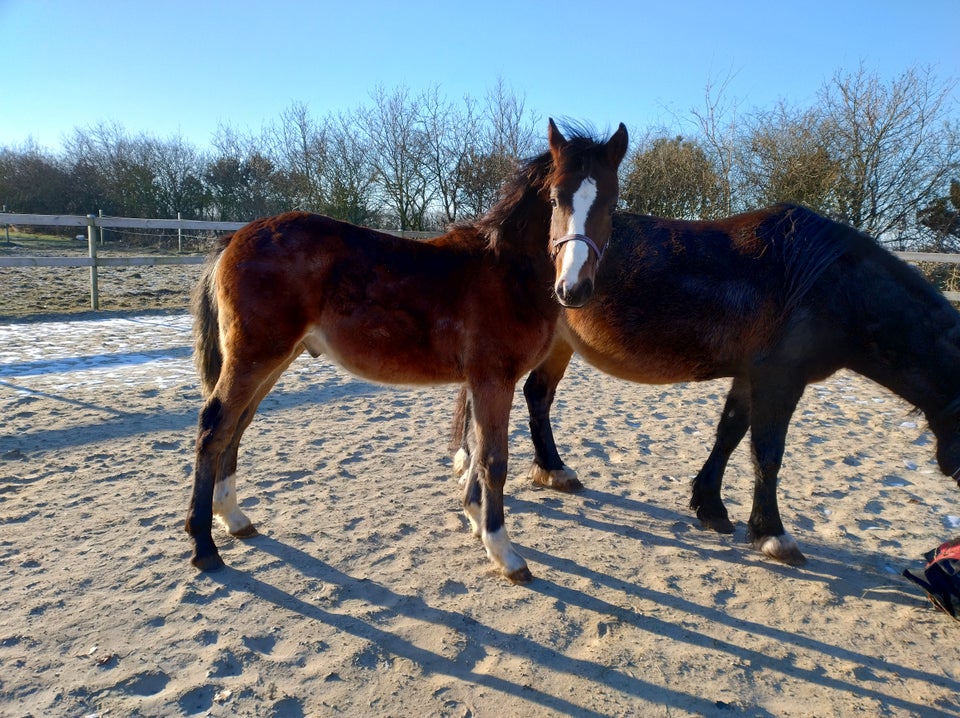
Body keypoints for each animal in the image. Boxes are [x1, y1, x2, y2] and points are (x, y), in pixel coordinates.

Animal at [186, 121, 632, 584]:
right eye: (556, 198)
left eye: (612, 202)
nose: (573, 289)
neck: (506, 271)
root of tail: (234, 237)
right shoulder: (495, 379)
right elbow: (493, 459)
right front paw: (503, 551)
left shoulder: (481, 381)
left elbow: (475, 450)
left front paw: (475, 520)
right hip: (254, 358)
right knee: (214, 426)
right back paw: (204, 546)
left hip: (272, 360)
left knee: (236, 426)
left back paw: (233, 518)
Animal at [454, 207, 960, 568]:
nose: (954, 471)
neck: (830, 285)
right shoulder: (780, 380)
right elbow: (767, 454)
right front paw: (773, 534)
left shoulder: (750, 376)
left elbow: (729, 434)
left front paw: (711, 507)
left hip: (558, 345)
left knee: (537, 398)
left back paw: (553, 470)